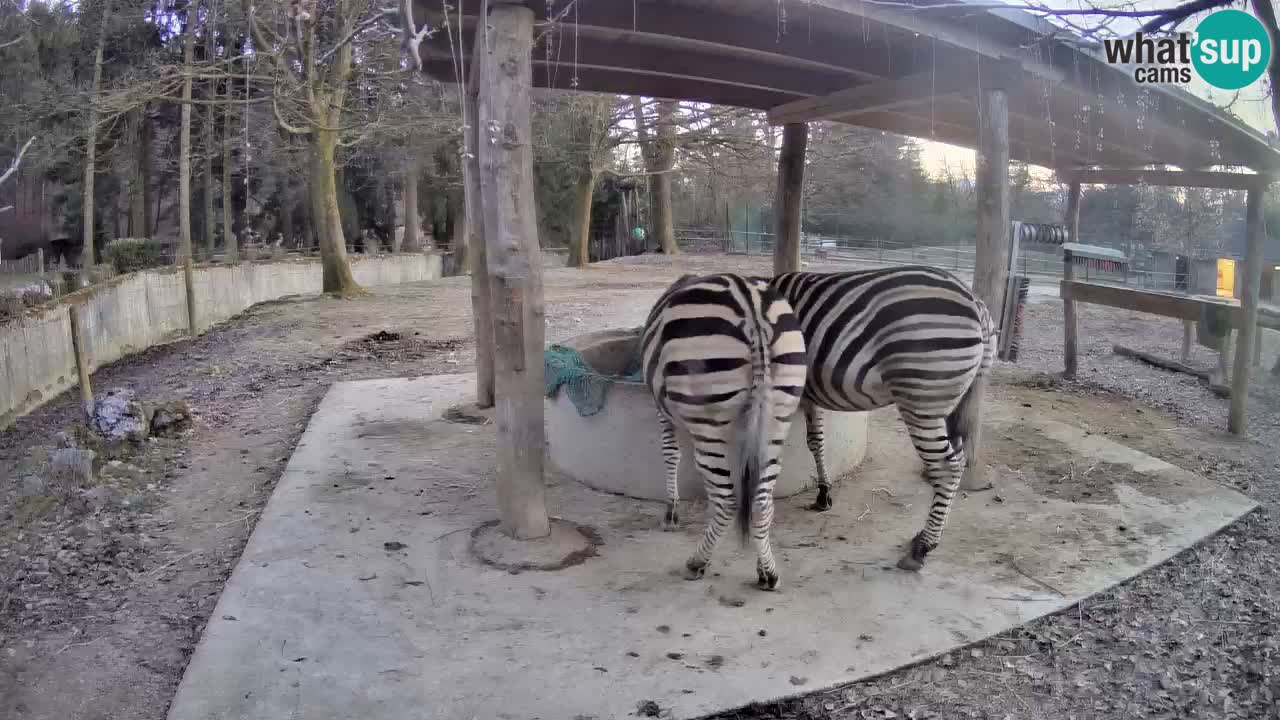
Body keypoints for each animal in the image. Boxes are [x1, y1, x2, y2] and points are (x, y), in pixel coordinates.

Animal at [640, 271, 808, 586]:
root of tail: (752, 310)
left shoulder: (662, 410)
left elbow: (671, 454)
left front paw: (671, 513)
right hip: (778, 415)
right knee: (761, 502)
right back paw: (767, 572)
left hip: (709, 420)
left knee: (727, 500)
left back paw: (697, 562)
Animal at [768, 265, 998, 571]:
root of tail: (975, 302)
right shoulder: (807, 394)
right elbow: (816, 441)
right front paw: (823, 494)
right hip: (956, 402)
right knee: (958, 455)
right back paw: (923, 536)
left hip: (922, 399)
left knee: (948, 466)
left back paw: (923, 548)